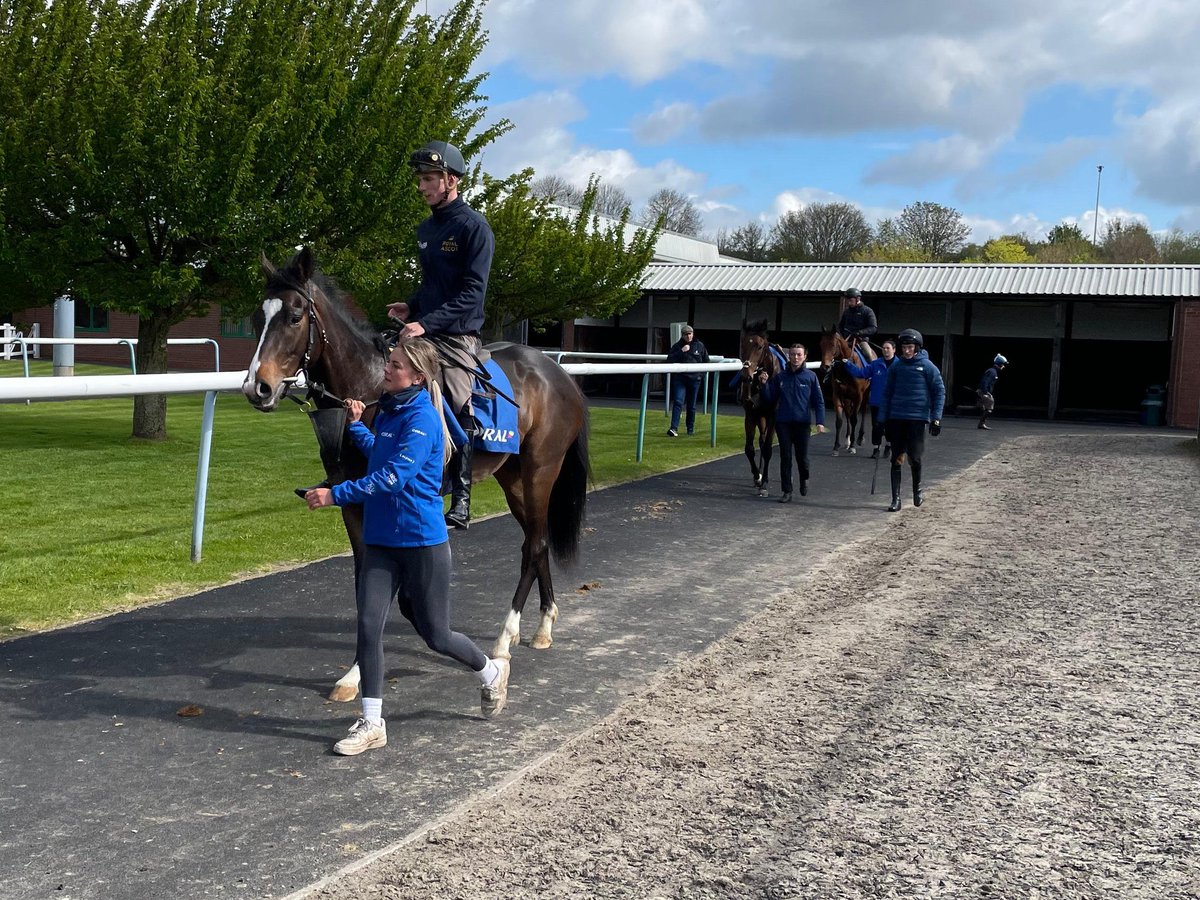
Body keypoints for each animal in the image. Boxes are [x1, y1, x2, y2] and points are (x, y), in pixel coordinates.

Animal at [241, 248, 588, 705]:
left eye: (296, 316)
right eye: (257, 317)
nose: (257, 388)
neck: (373, 390)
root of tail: (559, 373)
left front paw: (358, 672)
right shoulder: (353, 505)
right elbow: (364, 582)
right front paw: (353, 674)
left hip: (539, 472)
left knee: (533, 546)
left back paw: (504, 639)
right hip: (512, 479)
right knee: (538, 541)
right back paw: (544, 625)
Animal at [734, 319, 782, 501]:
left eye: (760, 346)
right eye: (743, 345)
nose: (745, 375)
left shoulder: (774, 416)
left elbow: (768, 449)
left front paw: (765, 483)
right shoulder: (751, 414)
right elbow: (749, 449)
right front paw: (757, 477)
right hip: (761, 417)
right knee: (760, 440)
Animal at [816, 328, 873, 458]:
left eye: (833, 345)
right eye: (821, 344)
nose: (825, 367)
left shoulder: (858, 396)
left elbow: (854, 419)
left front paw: (852, 446)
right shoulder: (837, 395)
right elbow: (839, 421)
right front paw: (836, 447)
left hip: (866, 394)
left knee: (862, 412)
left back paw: (859, 438)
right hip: (847, 398)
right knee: (848, 415)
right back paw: (847, 440)